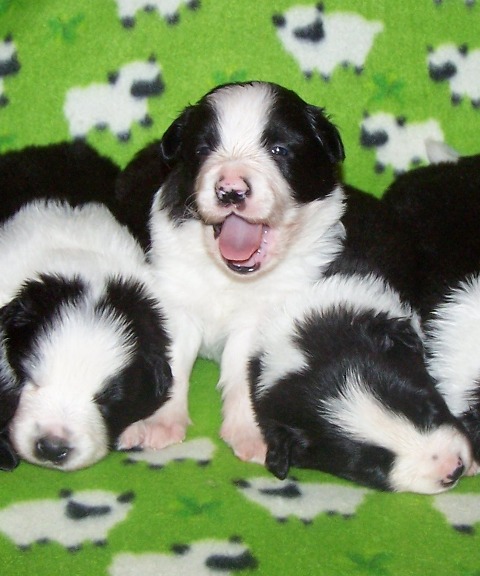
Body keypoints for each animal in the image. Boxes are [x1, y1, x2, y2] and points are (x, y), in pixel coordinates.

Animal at [115, 81, 347, 463]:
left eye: (279, 149)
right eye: (203, 149)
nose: (231, 190)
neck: (230, 277)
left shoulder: (263, 315)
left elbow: (243, 371)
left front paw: (253, 434)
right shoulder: (175, 297)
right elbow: (173, 358)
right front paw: (157, 423)